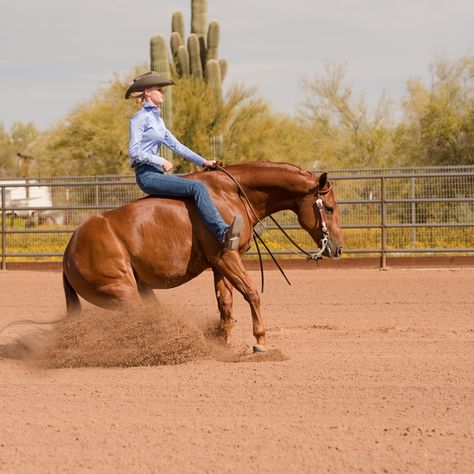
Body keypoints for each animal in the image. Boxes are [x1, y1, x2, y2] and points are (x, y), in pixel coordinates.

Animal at [63, 161, 342, 350]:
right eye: (328, 208)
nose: (337, 248)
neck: (231, 194)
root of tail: (68, 253)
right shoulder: (227, 257)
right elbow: (251, 293)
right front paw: (260, 340)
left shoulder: (219, 264)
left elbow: (225, 304)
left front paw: (225, 342)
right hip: (122, 292)